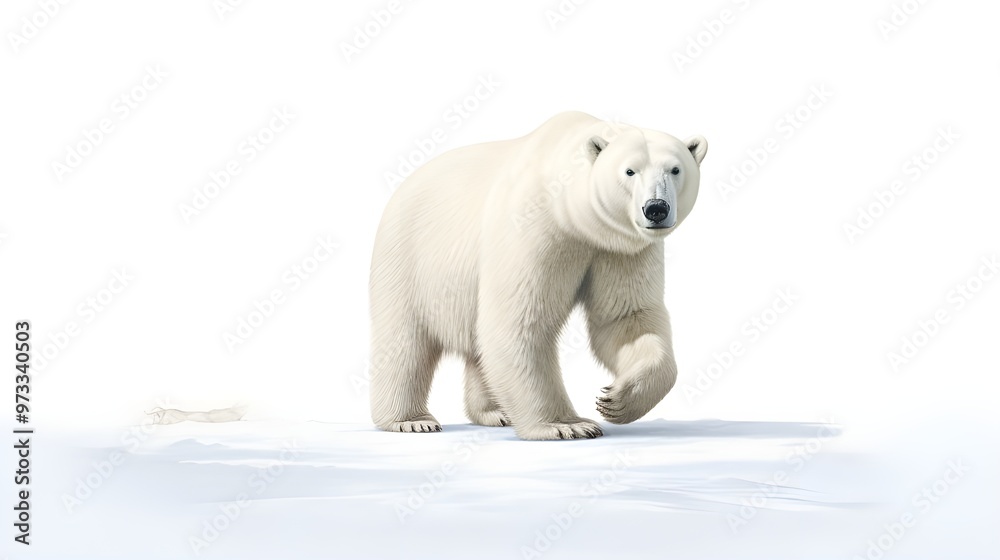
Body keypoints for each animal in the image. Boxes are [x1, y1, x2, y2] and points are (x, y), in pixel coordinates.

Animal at [369, 111, 707, 440]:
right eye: (629, 171)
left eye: (675, 169)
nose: (656, 208)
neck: (574, 217)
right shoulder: (534, 228)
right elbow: (521, 322)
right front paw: (567, 425)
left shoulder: (620, 249)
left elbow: (625, 317)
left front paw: (618, 399)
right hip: (407, 256)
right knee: (404, 341)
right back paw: (411, 420)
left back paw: (496, 412)